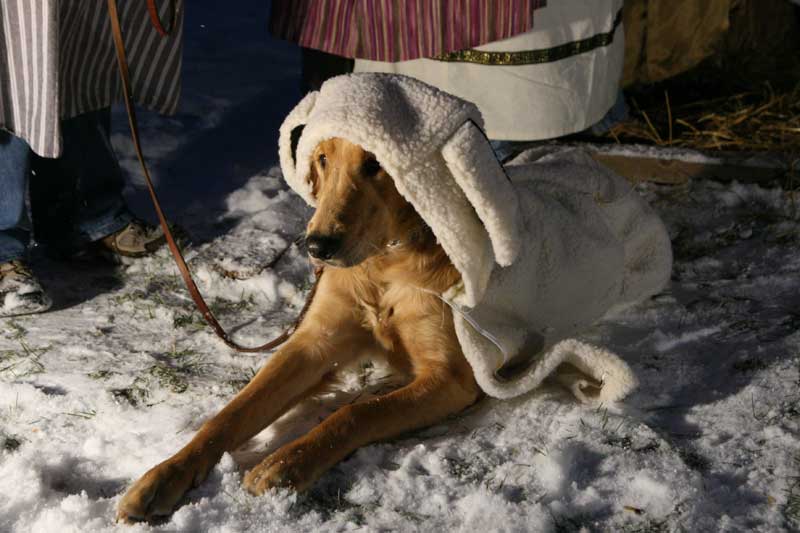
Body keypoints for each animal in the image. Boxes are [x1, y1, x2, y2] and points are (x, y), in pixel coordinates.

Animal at [117, 136, 482, 520]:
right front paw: (165, 474)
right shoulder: (313, 343)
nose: (317, 246)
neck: (381, 264)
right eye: (322, 159)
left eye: (375, 163)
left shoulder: (451, 377)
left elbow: (358, 412)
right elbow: (231, 413)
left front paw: (285, 462)